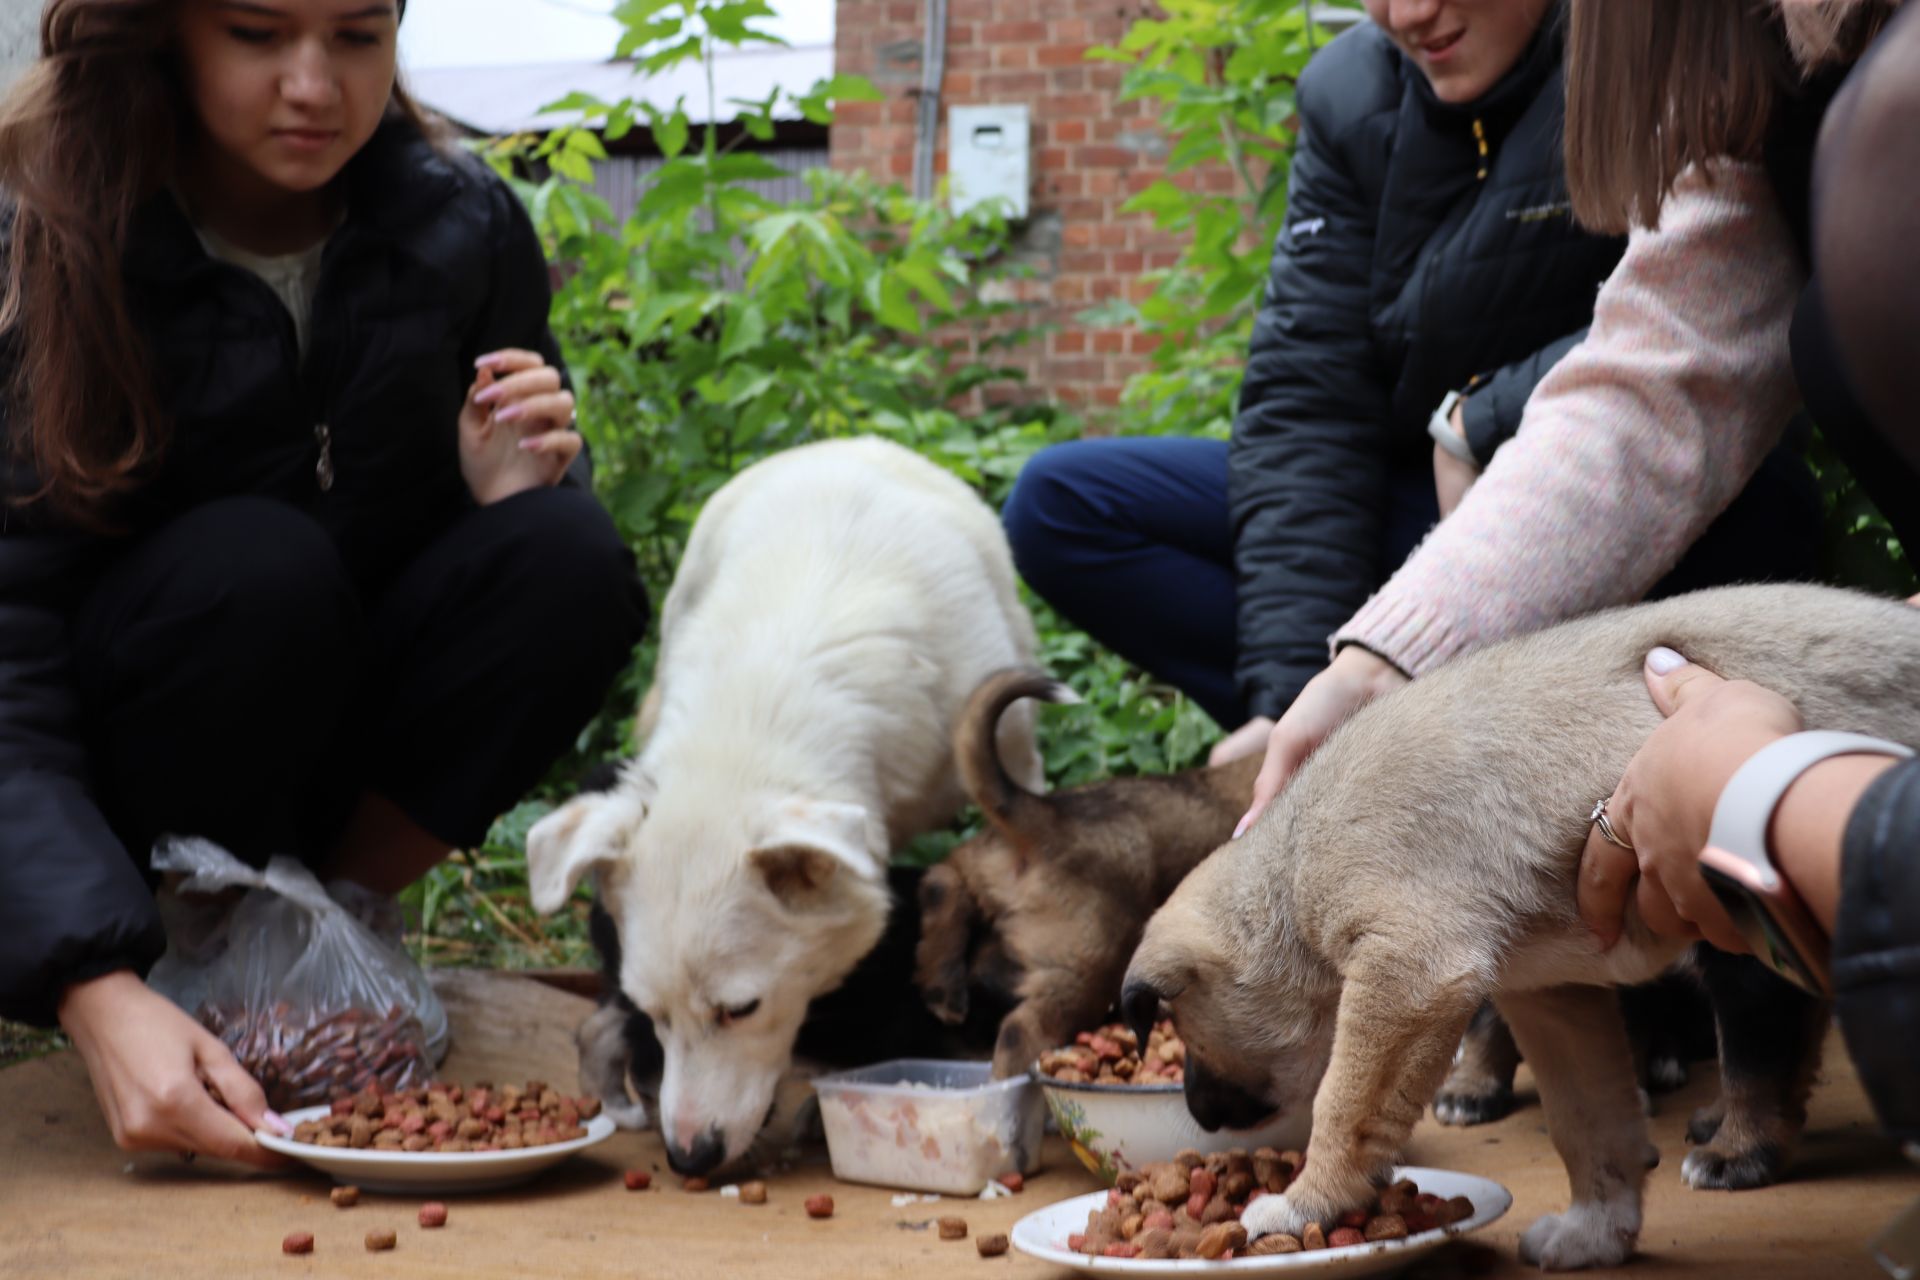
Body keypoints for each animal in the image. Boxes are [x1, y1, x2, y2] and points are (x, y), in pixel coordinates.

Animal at [522, 435, 1036, 1174]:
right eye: (656, 1011)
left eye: (742, 1008)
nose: (689, 1159)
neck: (761, 705)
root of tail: (848, 441)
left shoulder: (1010, 758)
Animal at [913, 671, 1259, 1082]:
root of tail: (1047, 815)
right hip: (1084, 970)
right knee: (1021, 1030)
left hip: (981, 869)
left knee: (941, 880)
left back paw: (943, 990)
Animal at [1121, 587, 1920, 1274]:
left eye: (1182, 1030)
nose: (1196, 1116)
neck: (1288, 874)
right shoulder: (1551, 996)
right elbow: (1588, 1122)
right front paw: (1598, 1228)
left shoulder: (1408, 980)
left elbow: (1343, 1106)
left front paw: (1307, 1203)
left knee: (1762, 1037)